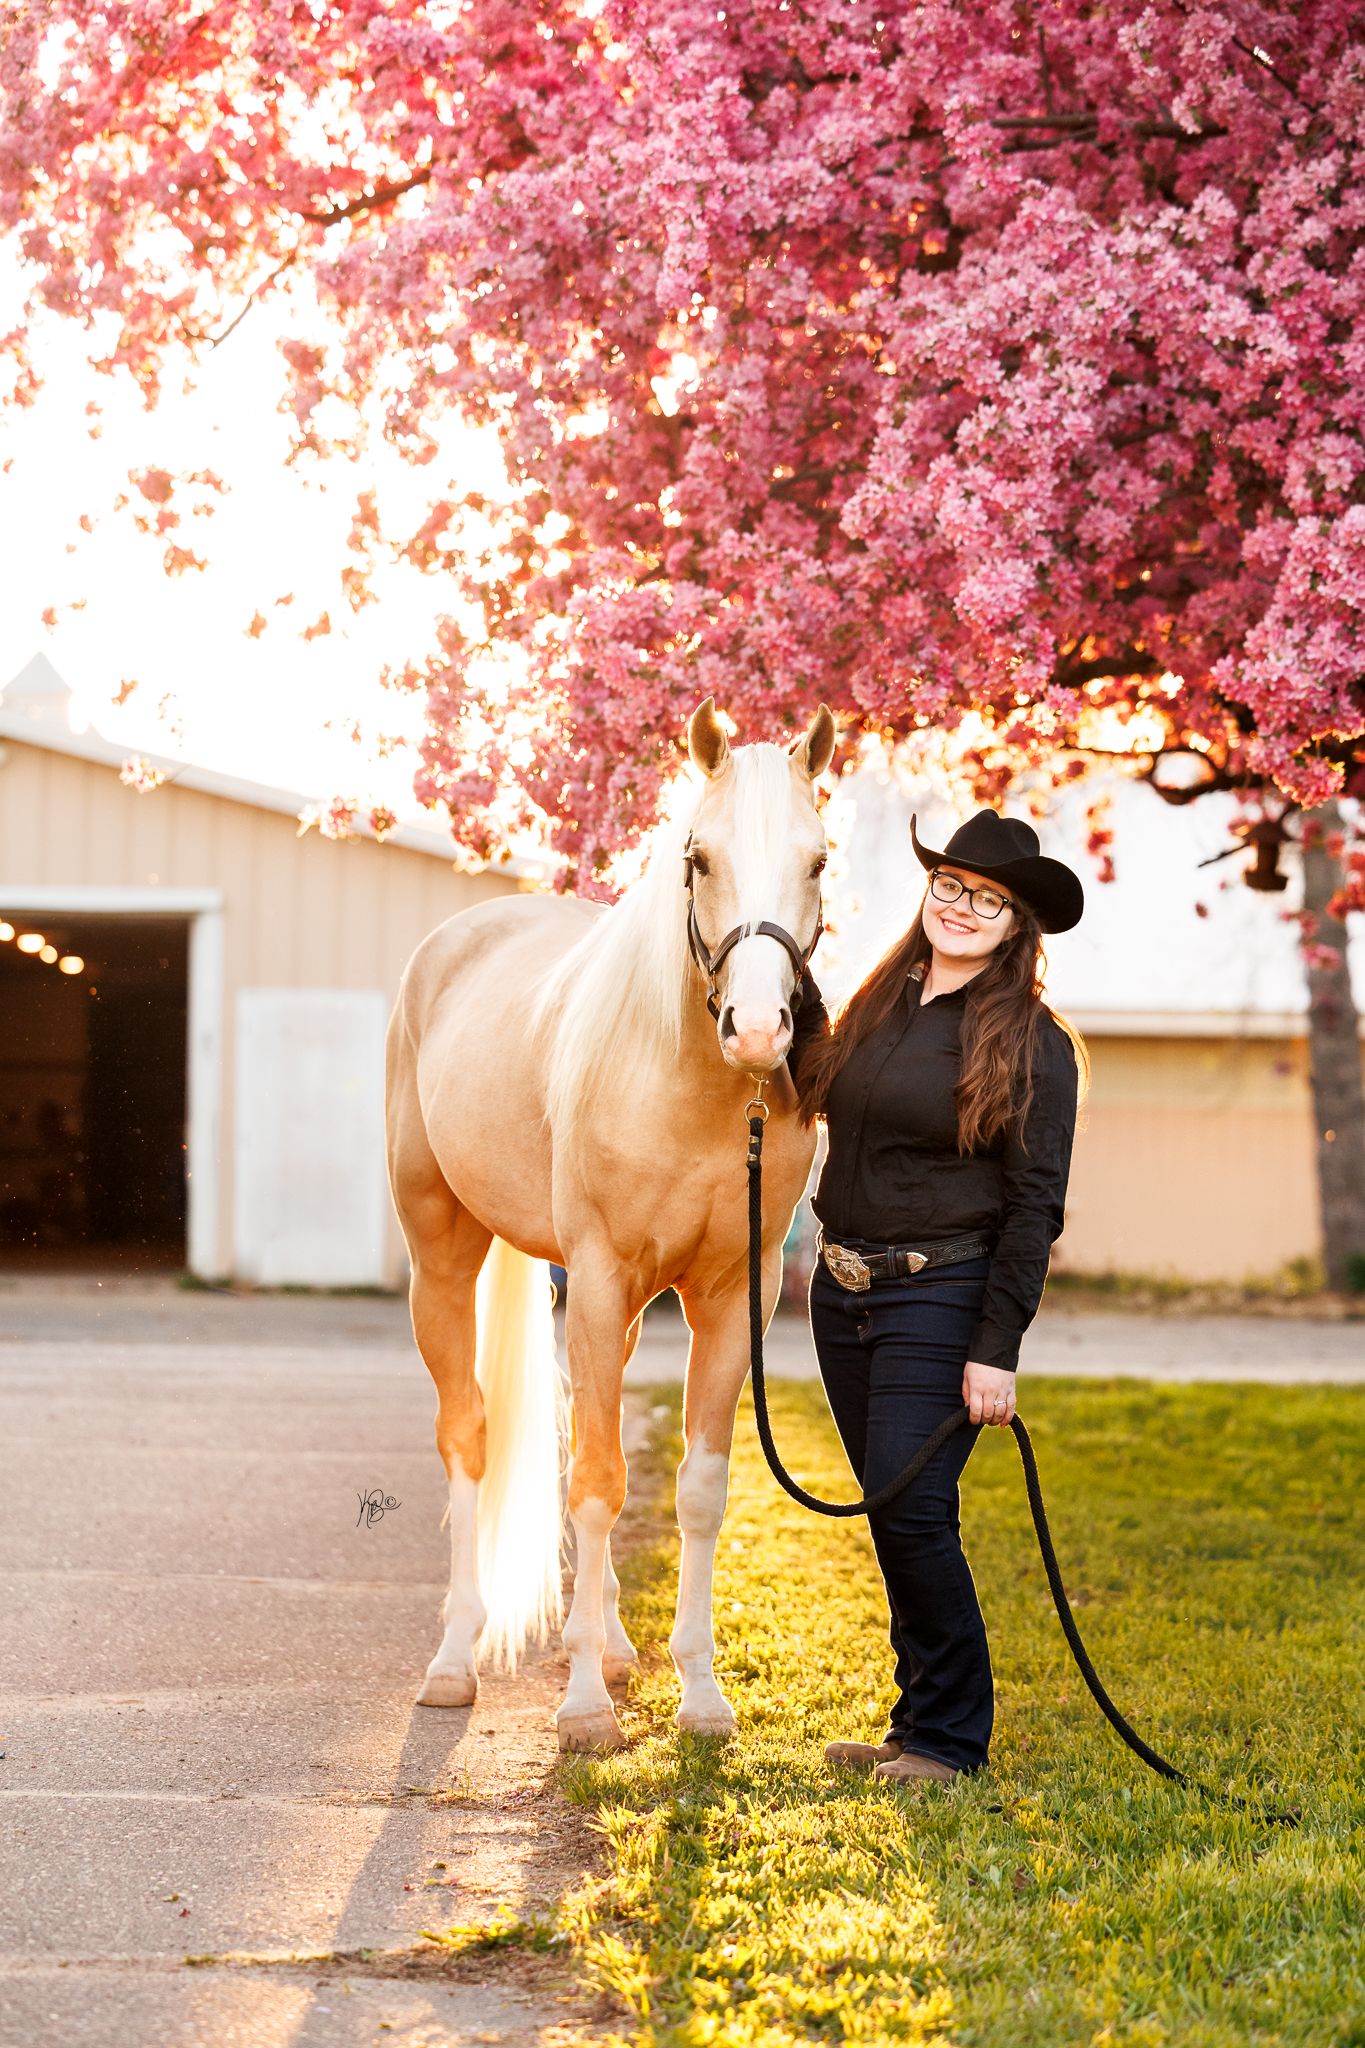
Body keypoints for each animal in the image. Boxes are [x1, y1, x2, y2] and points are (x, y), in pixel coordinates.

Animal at [384, 696, 835, 1750]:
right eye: (697, 857)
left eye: (818, 861)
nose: (759, 1030)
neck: (689, 1086)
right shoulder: (591, 1281)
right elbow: (592, 1484)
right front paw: (584, 1706)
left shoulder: (732, 1298)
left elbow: (695, 1492)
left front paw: (699, 1695)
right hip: (444, 1260)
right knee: (469, 1434)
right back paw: (455, 1660)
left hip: (618, 1314)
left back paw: (617, 1642)